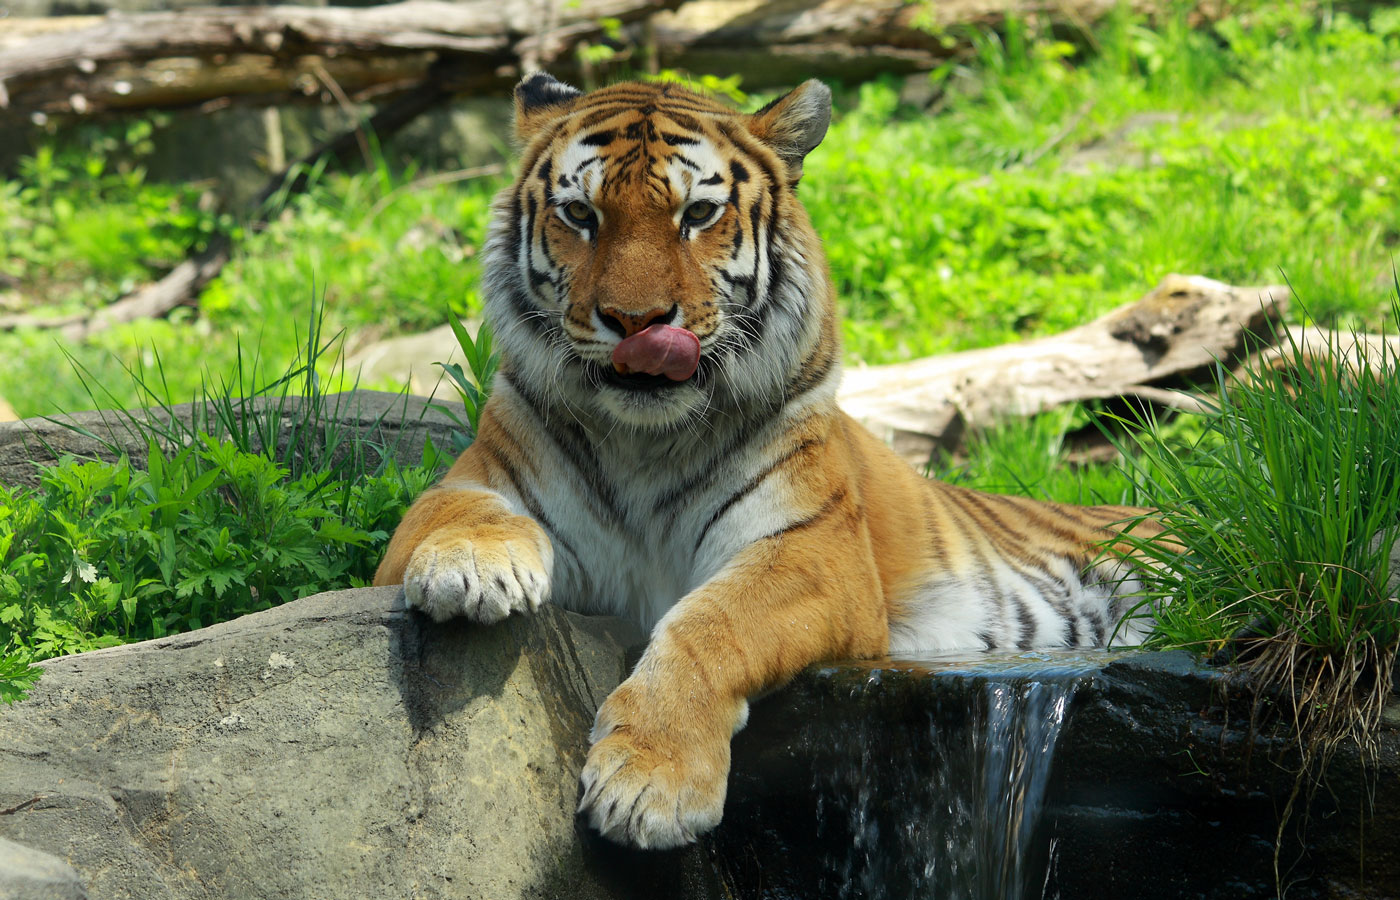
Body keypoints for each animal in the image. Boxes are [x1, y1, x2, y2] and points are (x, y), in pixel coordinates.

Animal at [369, 75, 1159, 851]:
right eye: (580, 214)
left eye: (698, 213)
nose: (636, 323)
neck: (644, 441)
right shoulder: (470, 482)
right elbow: (451, 507)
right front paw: (472, 567)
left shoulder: (813, 552)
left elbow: (709, 623)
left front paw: (649, 784)